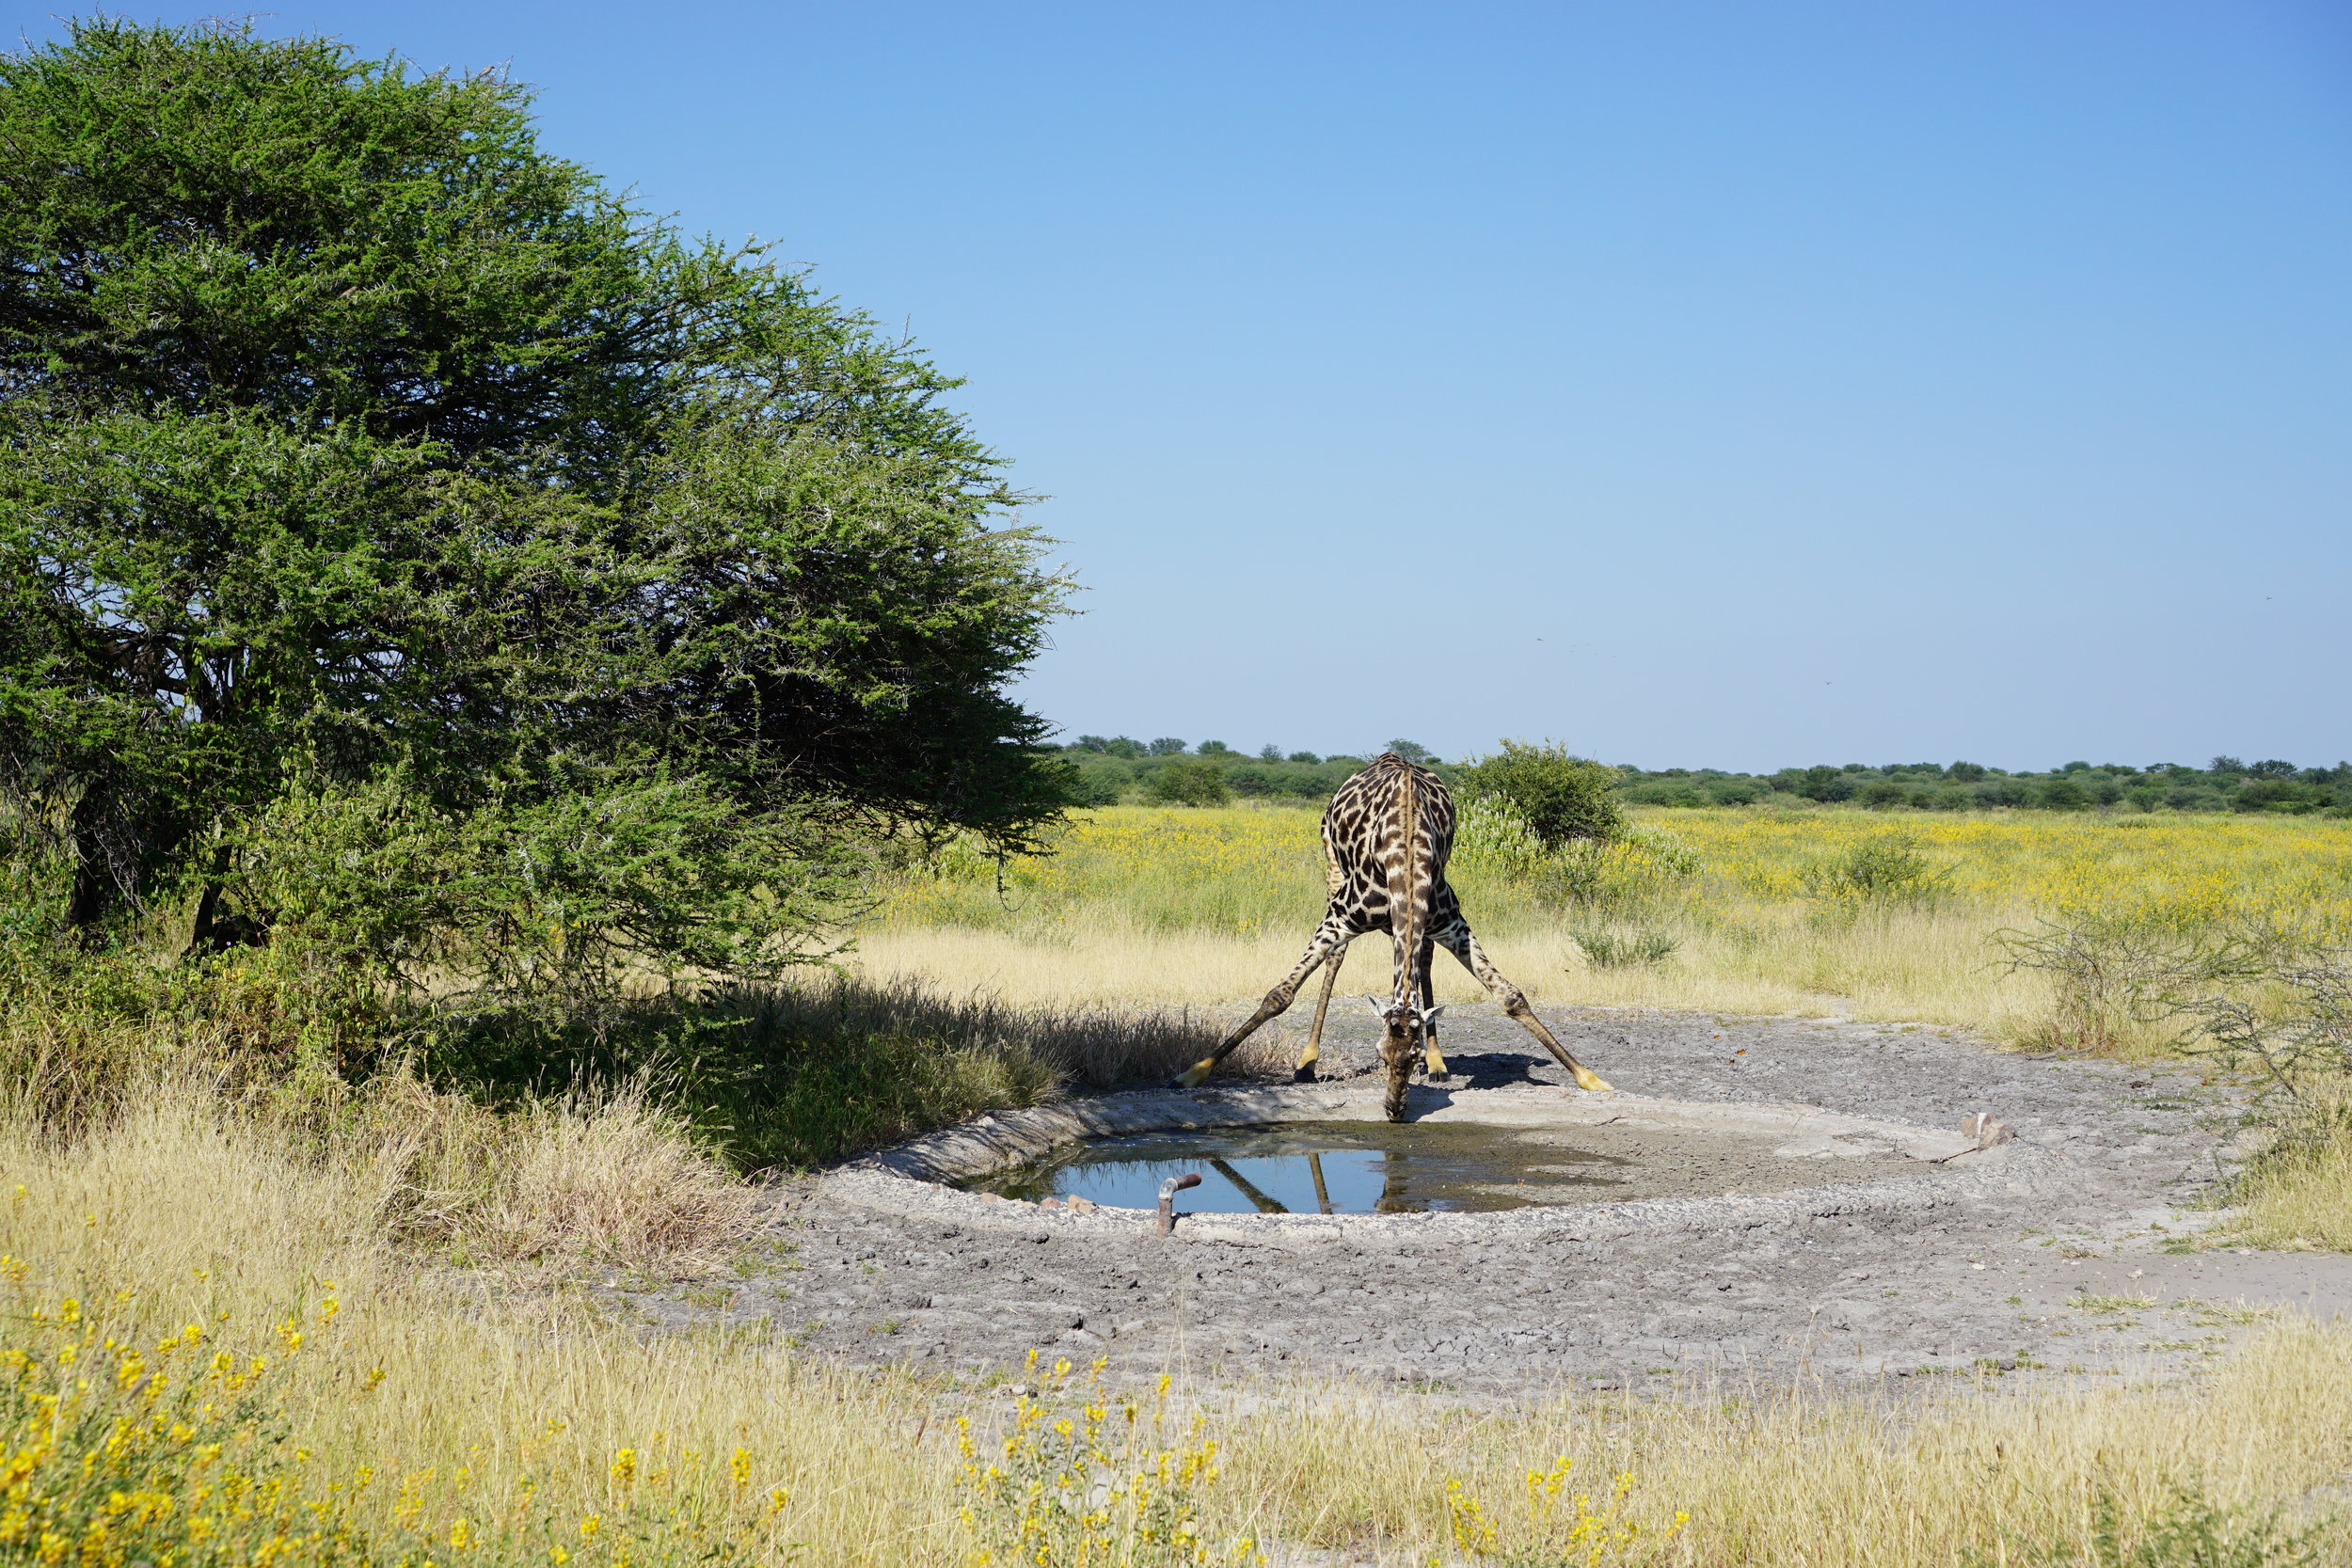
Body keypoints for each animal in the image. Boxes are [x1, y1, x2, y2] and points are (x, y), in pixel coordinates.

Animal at [1173, 752, 1614, 1120]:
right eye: (1379, 1055)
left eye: (1410, 1055)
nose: (1394, 1112)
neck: (1407, 843)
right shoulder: (1339, 918)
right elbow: (1279, 994)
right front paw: (1194, 1072)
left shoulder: (1452, 924)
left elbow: (1510, 996)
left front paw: (1590, 1077)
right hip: (1332, 869)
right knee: (1338, 959)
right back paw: (1308, 1062)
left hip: (1411, 926)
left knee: (1421, 962)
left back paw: (1439, 1064)